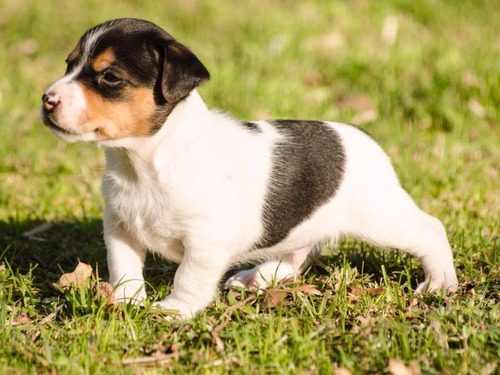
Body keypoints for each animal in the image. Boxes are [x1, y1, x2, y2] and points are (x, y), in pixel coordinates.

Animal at [41, 16, 458, 318]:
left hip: (382, 218)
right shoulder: (120, 228)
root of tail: (362, 136)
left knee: (431, 230)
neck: (145, 162)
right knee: (297, 252)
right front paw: (127, 301)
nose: (46, 99)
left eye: (109, 76)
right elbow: (124, 267)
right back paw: (260, 277)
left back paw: (441, 283)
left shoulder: (206, 241)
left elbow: (188, 277)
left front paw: (174, 310)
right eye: (69, 65)